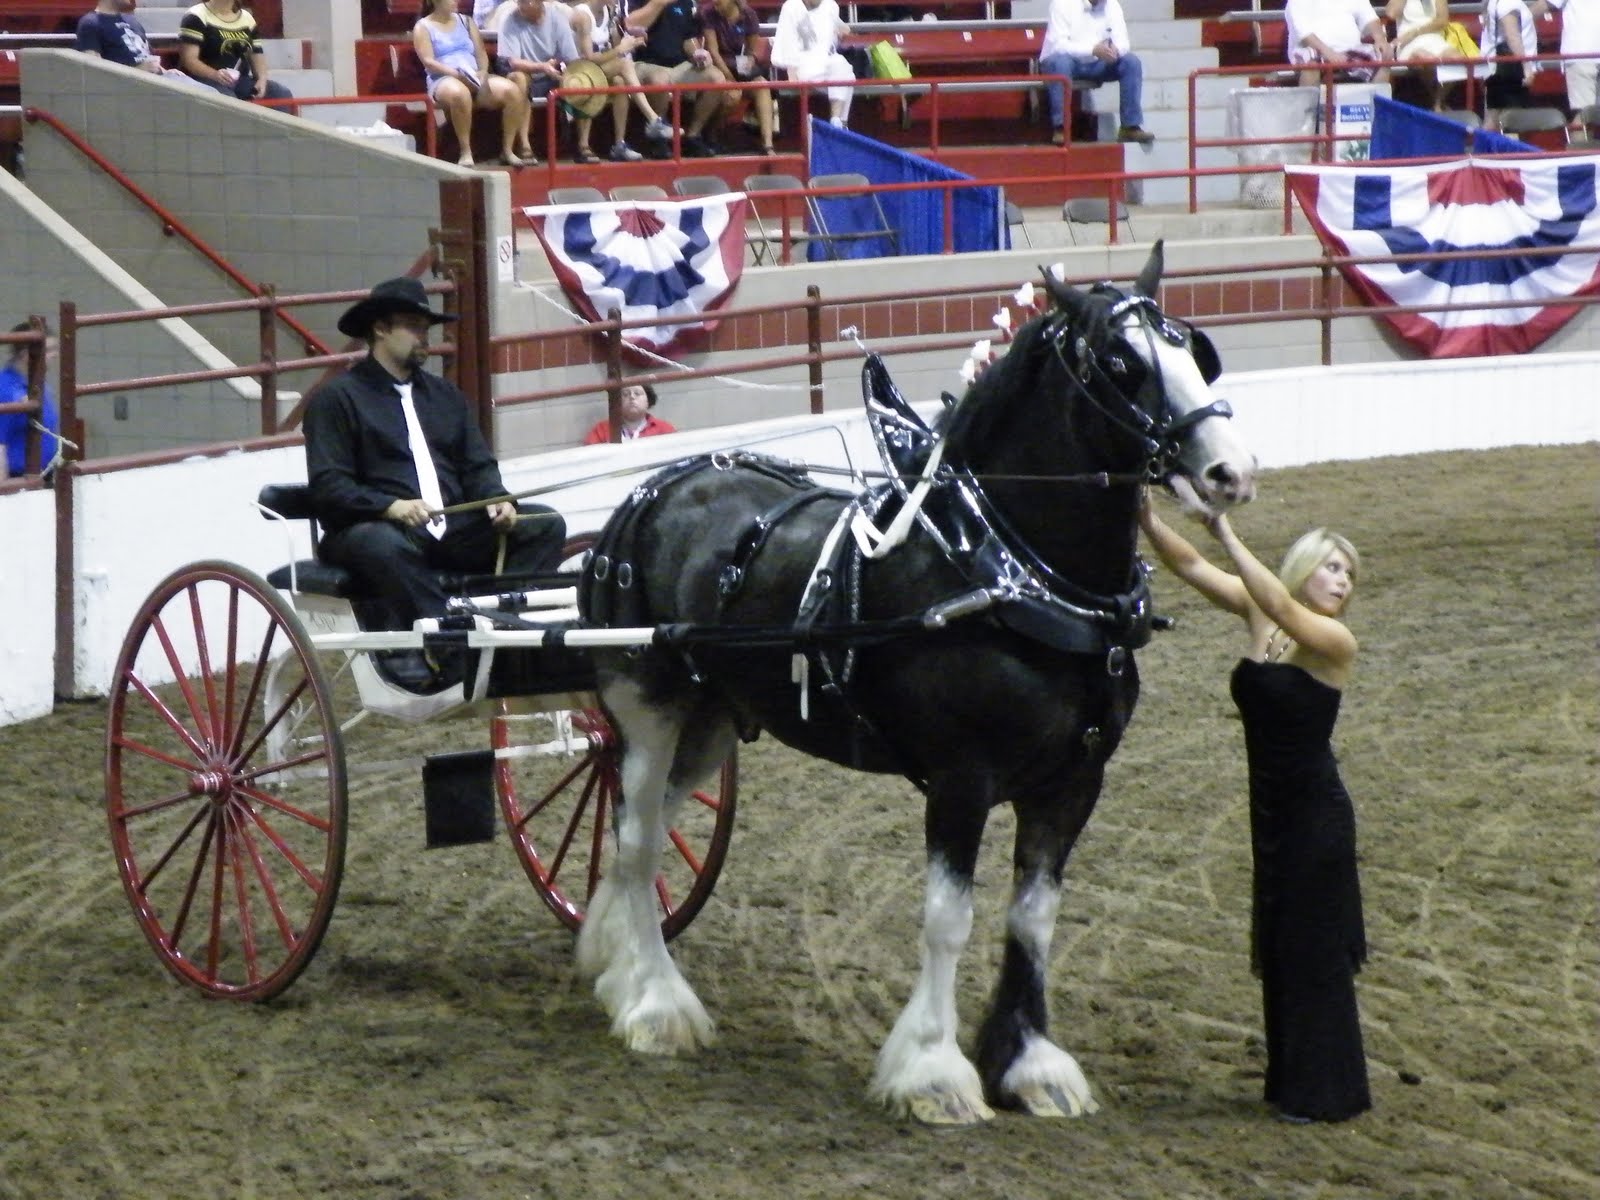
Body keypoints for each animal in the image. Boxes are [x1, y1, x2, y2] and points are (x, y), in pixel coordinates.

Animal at [573, 243, 1257, 1125]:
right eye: (1119, 363)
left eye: (1196, 351)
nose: (1230, 472)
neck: (1011, 571)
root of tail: (651, 491)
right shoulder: (962, 780)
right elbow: (948, 919)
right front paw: (934, 1070)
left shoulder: (1074, 782)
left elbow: (1034, 917)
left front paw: (1030, 1063)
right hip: (650, 707)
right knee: (637, 838)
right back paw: (657, 1004)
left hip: (713, 721)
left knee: (642, 827)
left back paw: (614, 962)